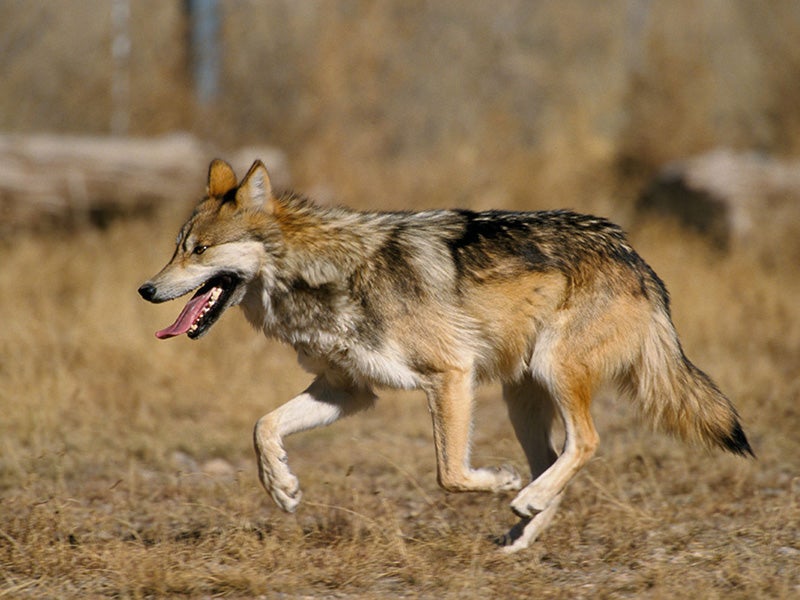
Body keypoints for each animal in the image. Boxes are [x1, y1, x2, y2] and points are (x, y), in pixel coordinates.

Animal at [134, 159, 752, 552]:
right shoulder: (348, 392)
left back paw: (522, 498)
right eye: (176, 249)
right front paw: (282, 487)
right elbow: (263, 426)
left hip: (551, 373)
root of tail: (633, 255)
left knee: (586, 443)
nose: (145, 289)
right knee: (555, 459)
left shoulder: (450, 375)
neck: (323, 274)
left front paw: (497, 481)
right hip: (521, 399)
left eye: (200, 250)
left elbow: (450, 474)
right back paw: (521, 531)